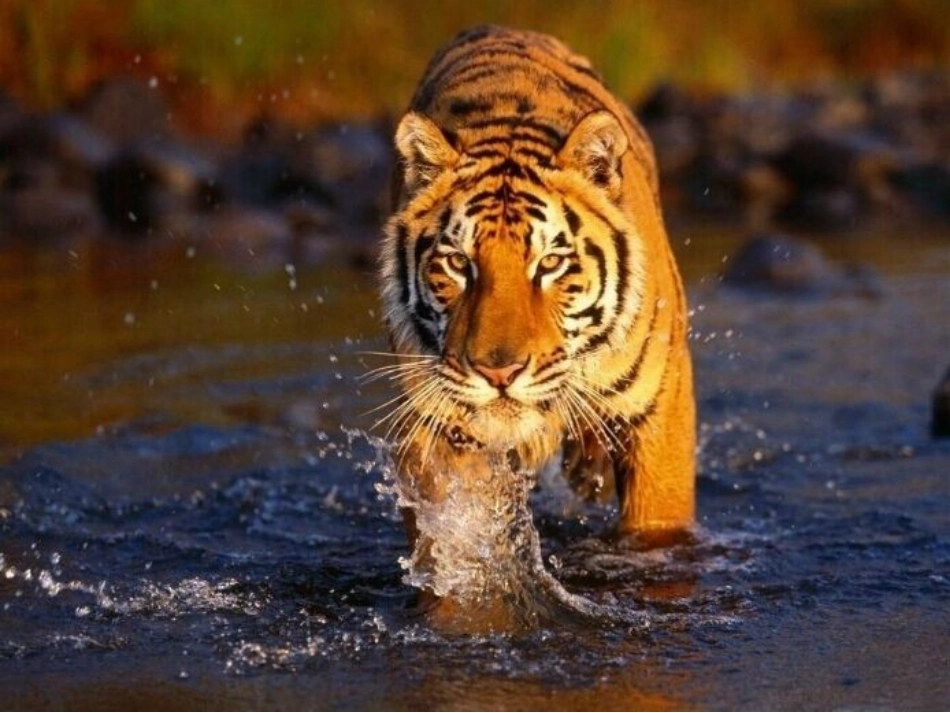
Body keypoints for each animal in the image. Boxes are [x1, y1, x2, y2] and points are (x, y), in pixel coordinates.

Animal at [378, 25, 695, 569]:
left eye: (549, 264)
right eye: (458, 263)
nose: (499, 374)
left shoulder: (660, 410)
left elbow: (656, 526)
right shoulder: (433, 423)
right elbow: (450, 537)